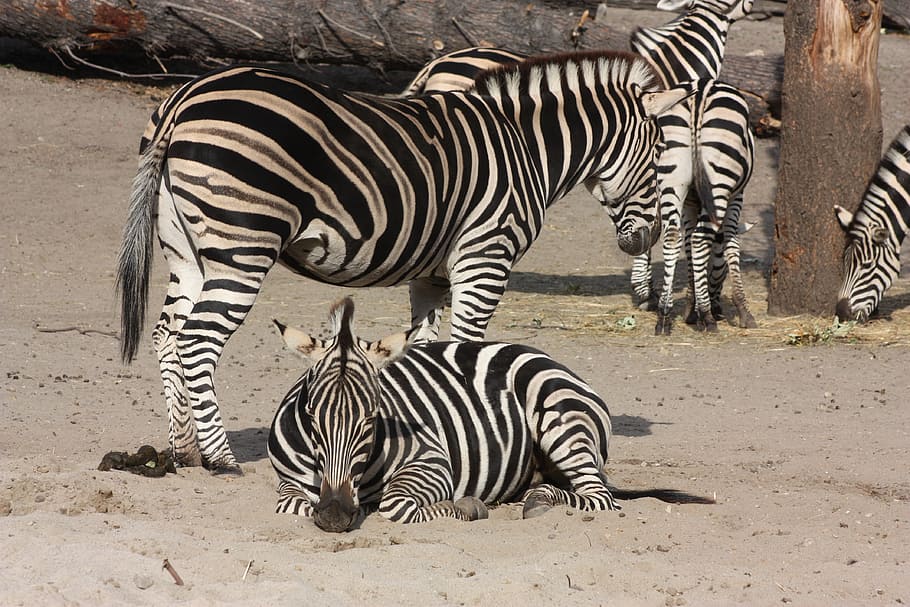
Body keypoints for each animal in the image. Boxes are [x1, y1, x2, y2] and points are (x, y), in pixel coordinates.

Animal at [117, 51, 691, 471]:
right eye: (659, 157)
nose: (646, 238)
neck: (525, 146)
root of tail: (185, 97)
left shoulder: (431, 276)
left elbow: (427, 352)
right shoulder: (486, 256)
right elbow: (467, 348)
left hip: (189, 252)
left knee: (167, 335)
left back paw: (184, 450)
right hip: (243, 247)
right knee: (195, 341)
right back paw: (221, 458)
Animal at [269, 297, 714, 532]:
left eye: (372, 419)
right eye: (311, 415)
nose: (334, 514)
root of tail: (550, 359)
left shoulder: (431, 462)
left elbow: (397, 505)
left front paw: (466, 507)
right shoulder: (290, 483)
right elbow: (292, 505)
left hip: (561, 422)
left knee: (599, 497)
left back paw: (540, 502)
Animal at [629, 0, 757, 333]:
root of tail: (698, 96)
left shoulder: (684, 196)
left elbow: (677, 239)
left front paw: (681, 303)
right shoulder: (736, 195)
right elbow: (728, 241)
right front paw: (736, 309)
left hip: (672, 178)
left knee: (674, 236)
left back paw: (665, 317)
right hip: (720, 179)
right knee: (699, 237)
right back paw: (706, 316)